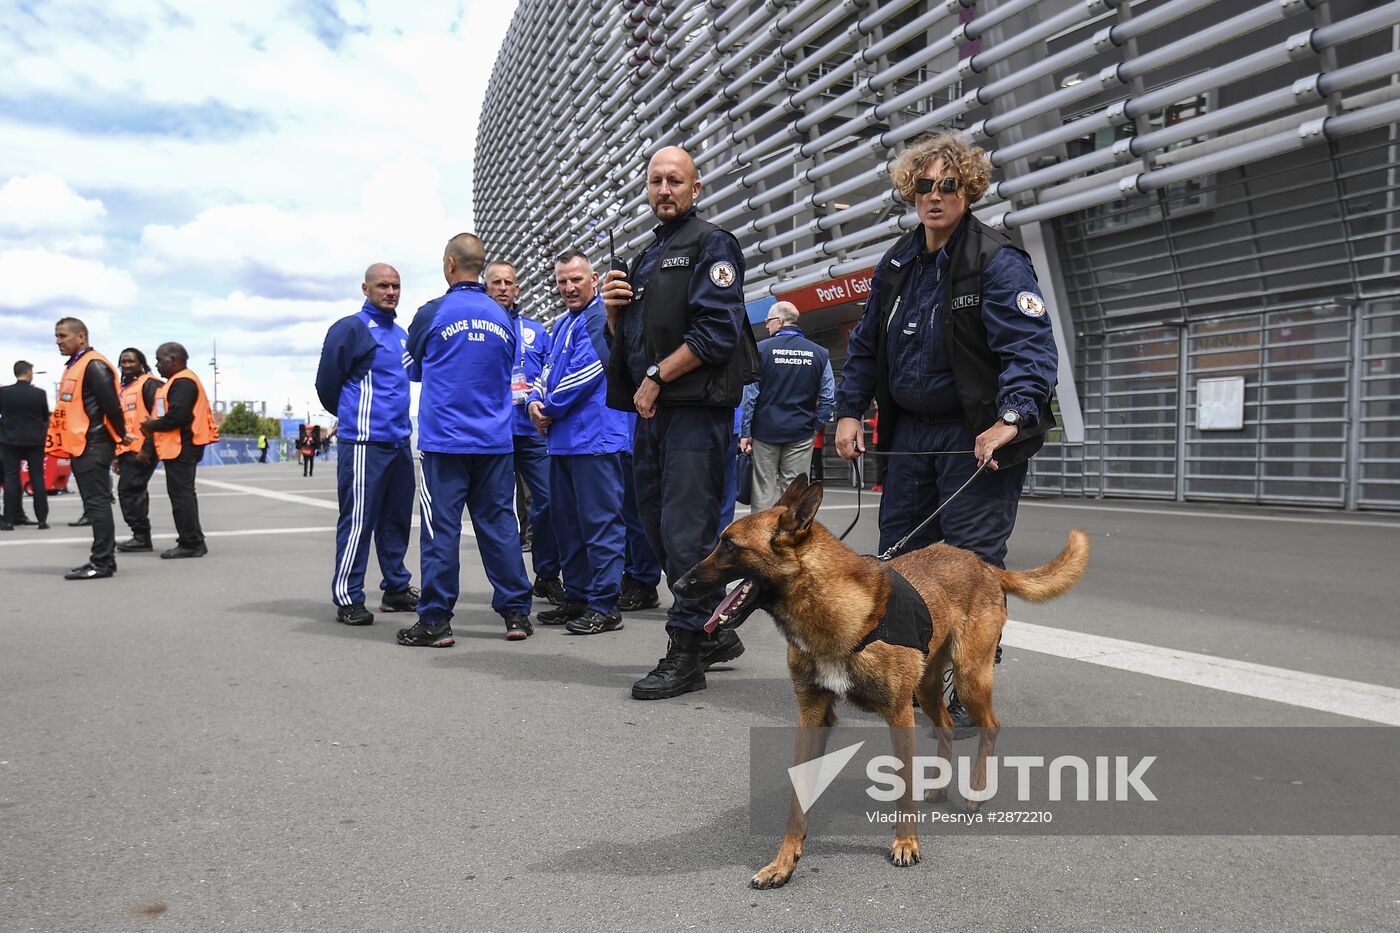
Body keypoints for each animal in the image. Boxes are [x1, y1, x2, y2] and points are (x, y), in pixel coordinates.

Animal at [672, 476, 1086, 885]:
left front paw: (906, 843)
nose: (677, 585)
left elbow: (904, 787)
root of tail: (982, 563)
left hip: (969, 678)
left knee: (990, 726)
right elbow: (797, 797)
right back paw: (939, 785)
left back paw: (977, 790)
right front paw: (784, 861)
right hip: (928, 687)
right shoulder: (812, 716)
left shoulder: (899, 715)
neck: (836, 613)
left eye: (729, 545)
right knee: (948, 726)